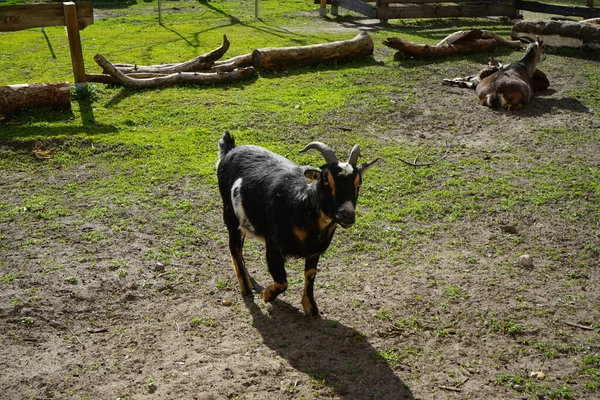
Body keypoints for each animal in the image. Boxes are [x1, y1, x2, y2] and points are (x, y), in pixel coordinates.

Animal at [216, 131, 378, 316]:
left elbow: (310, 274)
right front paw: (267, 295)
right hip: (230, 215)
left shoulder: (315, 251)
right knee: (234, 248)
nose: (347, 215)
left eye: (359, 183)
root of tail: (231, 149)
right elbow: (282, 281)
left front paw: (311, 307)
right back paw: (245, 287)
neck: (300, 204)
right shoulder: (273, 245)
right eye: (326, 181)